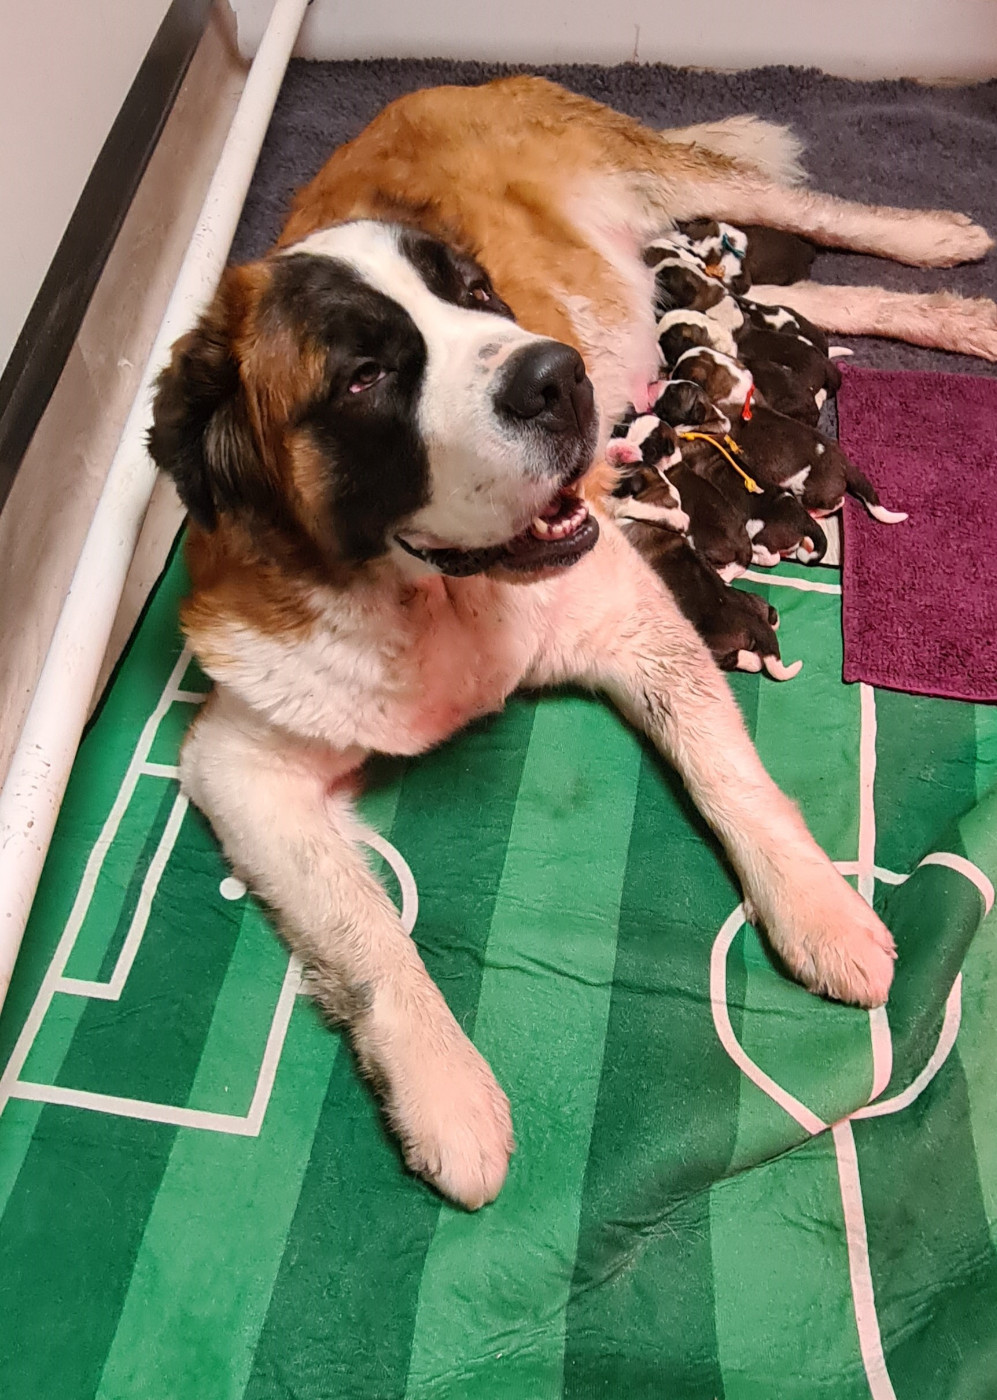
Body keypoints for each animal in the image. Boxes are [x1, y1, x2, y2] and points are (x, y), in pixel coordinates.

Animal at [149, 75, 996, 1210]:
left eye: (477, 295)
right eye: (366, 375)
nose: (556, 375)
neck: (433, 596)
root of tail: (438, 85)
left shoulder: (631, 616)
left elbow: (729, 771)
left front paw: (820, 907)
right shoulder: (243, 763)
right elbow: (365, 925)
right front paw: (449, 1095)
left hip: (654, 173)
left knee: (824, 216)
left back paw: (940, 246)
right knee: (812, 307)